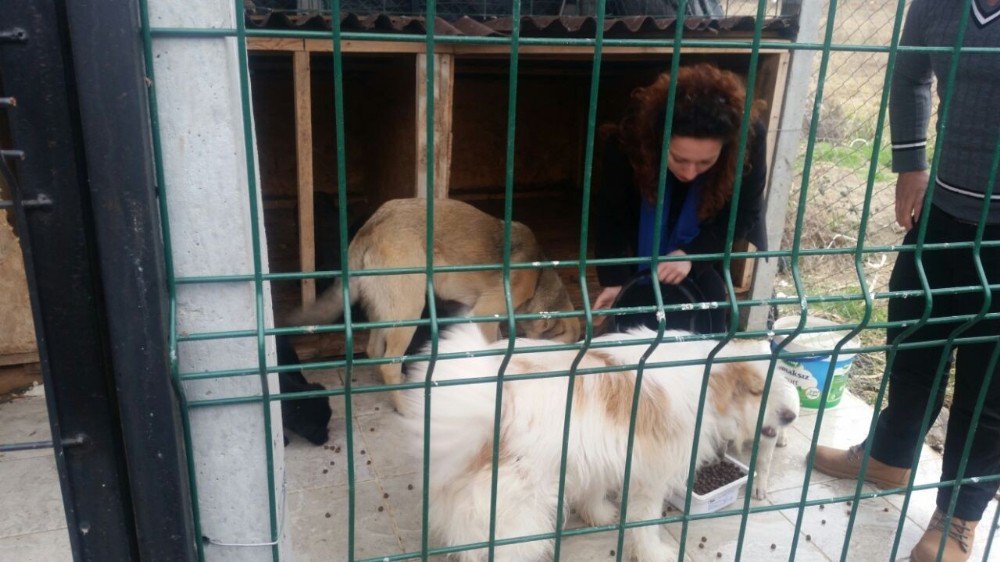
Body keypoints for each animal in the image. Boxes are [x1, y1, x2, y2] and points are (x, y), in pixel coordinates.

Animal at [288, 197, 580, 406]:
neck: (540, 277)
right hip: (408, 310)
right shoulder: (484, 313)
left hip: (388, 309)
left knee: (373, 350)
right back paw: (402, 407)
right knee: (388, 362)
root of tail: (372, 225)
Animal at [398, 324, 796, 560]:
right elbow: (644, 524)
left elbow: (594, 492)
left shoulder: (600, 459)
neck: (705, 375)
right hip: (518, 518)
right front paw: (656, 552)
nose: (791, 417)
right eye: (755, 390)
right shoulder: (651, 480)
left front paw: (600, 515)